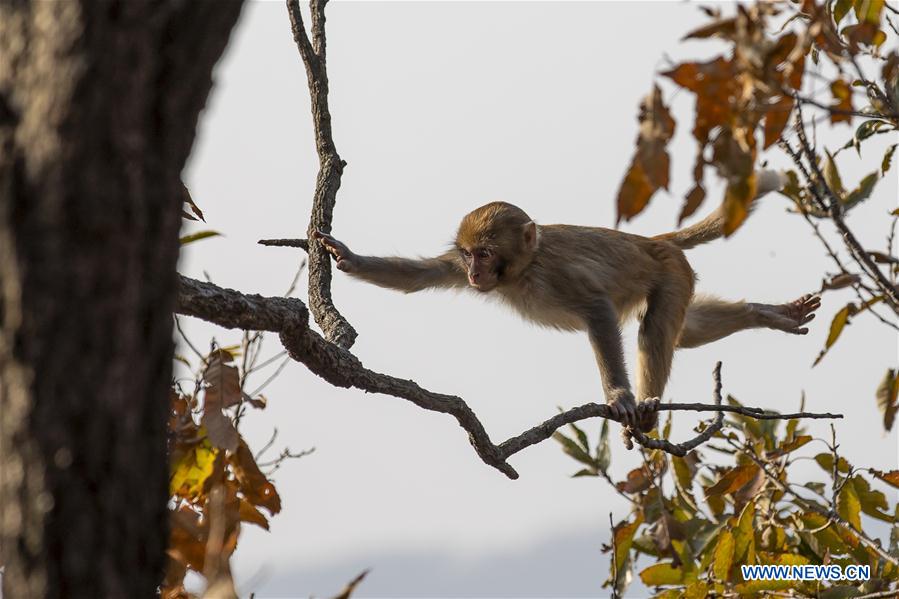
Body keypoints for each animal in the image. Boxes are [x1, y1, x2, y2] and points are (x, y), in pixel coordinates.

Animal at [314, 171, 824, 438]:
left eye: (486, 253)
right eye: (468, 254)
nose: (476, 274)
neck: (522, 270)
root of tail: (652, 240)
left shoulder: (556, 277)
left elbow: (597, 311)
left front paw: (619, 396)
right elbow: (416, 278)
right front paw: (347, 256)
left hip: (670, 272)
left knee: (655, 332)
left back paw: (647, 408)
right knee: (688, 330)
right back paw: (769, 314)